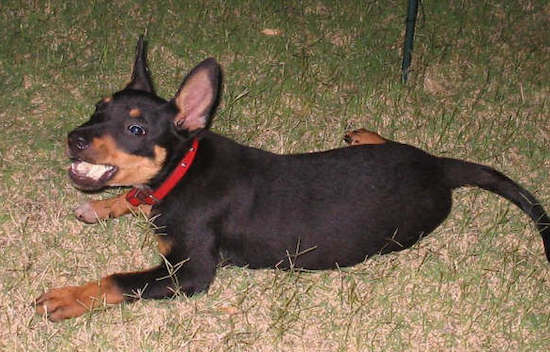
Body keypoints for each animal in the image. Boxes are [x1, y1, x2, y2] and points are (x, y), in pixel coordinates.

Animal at [35, 37, 550, 322]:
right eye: (98, 108)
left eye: (137, 130)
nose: (73, 139)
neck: (183, 170)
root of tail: (440, 168)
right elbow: (132, 196)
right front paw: (101, 205)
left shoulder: (191, 272)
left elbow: (121, 279)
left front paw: (68, 297)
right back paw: (364, 134)